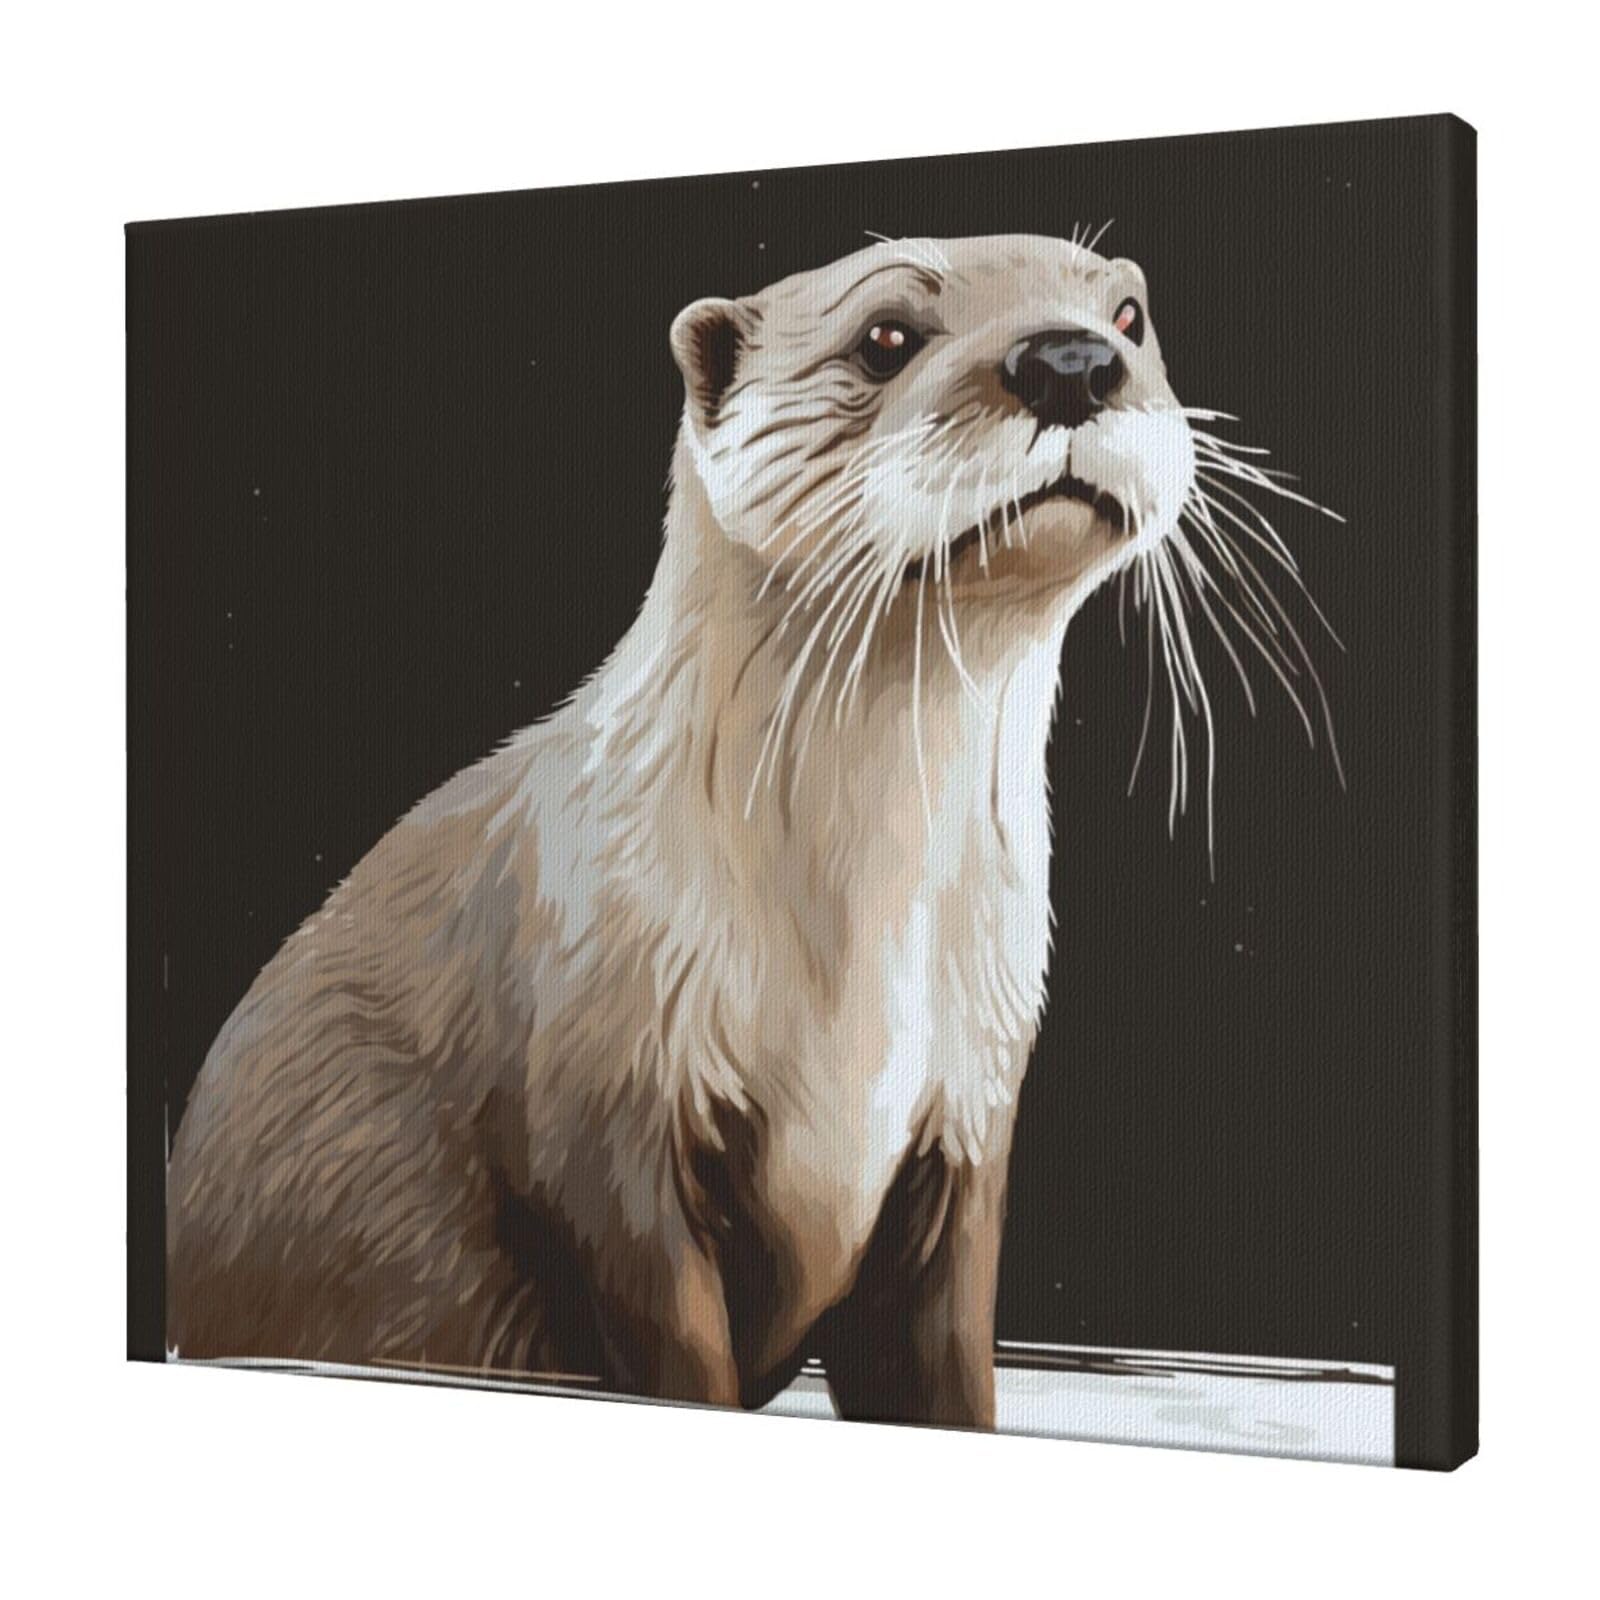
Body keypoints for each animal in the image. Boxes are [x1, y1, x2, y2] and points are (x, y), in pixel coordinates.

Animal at [168, 233, 1310, 1425]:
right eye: (886, 335)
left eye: (1129, 315)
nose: (1072, 361)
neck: (855, 953)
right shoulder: (610, 1106)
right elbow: (675, 1345)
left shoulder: (968, 1114)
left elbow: (941, 1360)